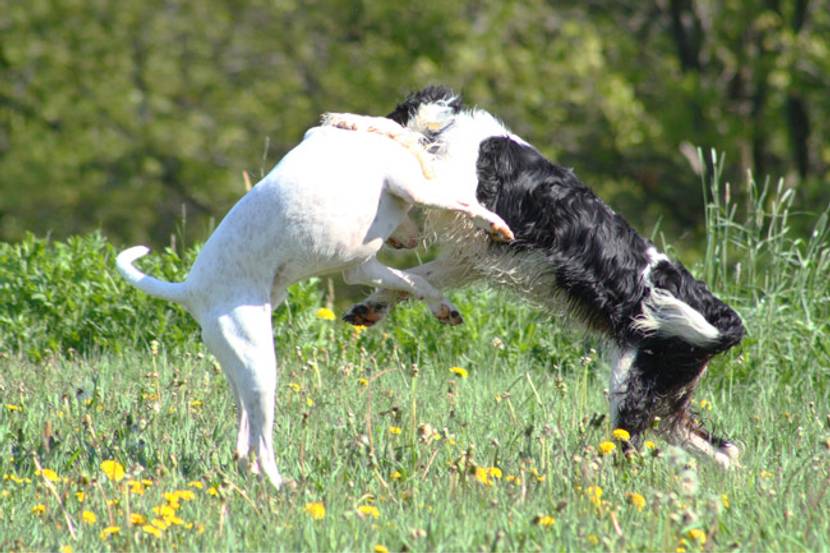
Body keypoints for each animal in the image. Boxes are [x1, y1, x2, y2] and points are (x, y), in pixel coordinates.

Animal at [117, 117, 512, 488]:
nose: (412, 241)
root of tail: (190, 289)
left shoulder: (362, 268)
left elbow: (414, 282)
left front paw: (441, 307)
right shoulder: (414, 188)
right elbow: (464, 203)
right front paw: (496, 225)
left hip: (241, 370)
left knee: (245, 440)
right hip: (261, 366)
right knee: (263, 443)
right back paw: (281, 486)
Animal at [338, 86, 748, 466]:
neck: (457, 135)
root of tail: (725, 322)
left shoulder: (465, 202)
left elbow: (409, 145)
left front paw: (349, 120)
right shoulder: (469, 259)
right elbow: (413, 279)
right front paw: (370, 309)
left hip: (631, 384)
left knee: (631, 446)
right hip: (663, 393)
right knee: (722, 450)